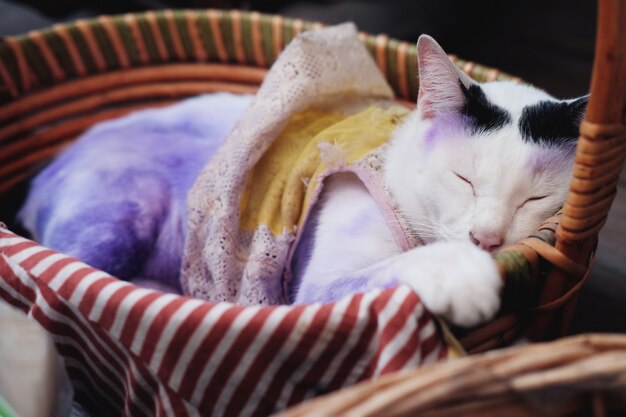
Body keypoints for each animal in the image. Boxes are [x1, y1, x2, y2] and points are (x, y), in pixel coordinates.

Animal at [19, 35, 584, 326]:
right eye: (462, 179)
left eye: (534, 199)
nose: (486, 239)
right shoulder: (316, 289)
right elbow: (403, 264)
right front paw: (464, 274)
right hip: (118, 217)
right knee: (81, 274)